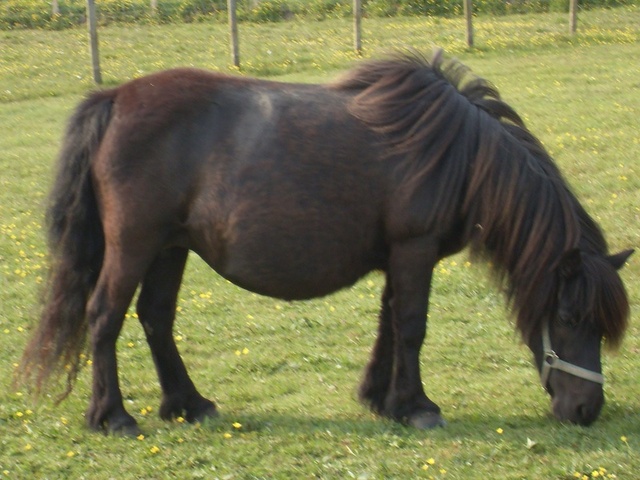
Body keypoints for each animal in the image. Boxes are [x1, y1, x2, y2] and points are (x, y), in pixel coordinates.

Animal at [19, 50, 632, 435]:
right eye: (571, 317)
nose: (586, 410)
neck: (460, 155)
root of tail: (116, 97)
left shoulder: (398, 255)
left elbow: (390, 324)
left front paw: (382, 400)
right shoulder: (415, 249)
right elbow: (412, 327)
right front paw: (419, 407)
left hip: (170, 248)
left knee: (155, 319)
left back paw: (188, 405)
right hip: (135, 245)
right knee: (104, 317)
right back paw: (114, 417)